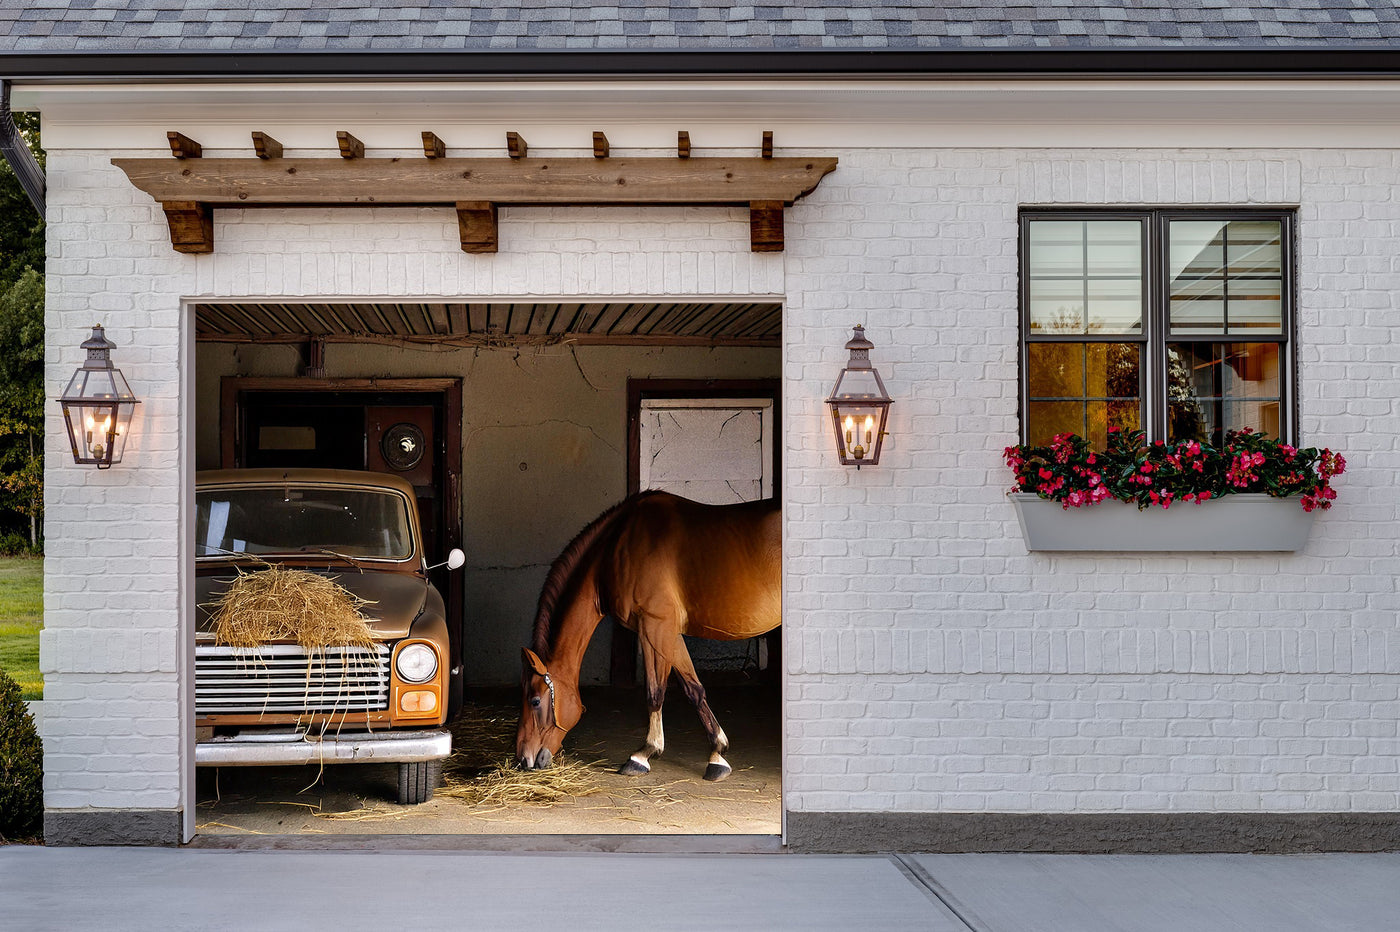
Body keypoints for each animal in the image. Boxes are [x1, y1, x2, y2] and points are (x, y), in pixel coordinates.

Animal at [518, 489, 784, 778]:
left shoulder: (653, 627)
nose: (523, 758)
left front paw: (643, 754)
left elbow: (655, 692)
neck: (615, 548)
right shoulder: (669, 633)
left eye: (535, 701)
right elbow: (694, 689)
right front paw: (717, 754)